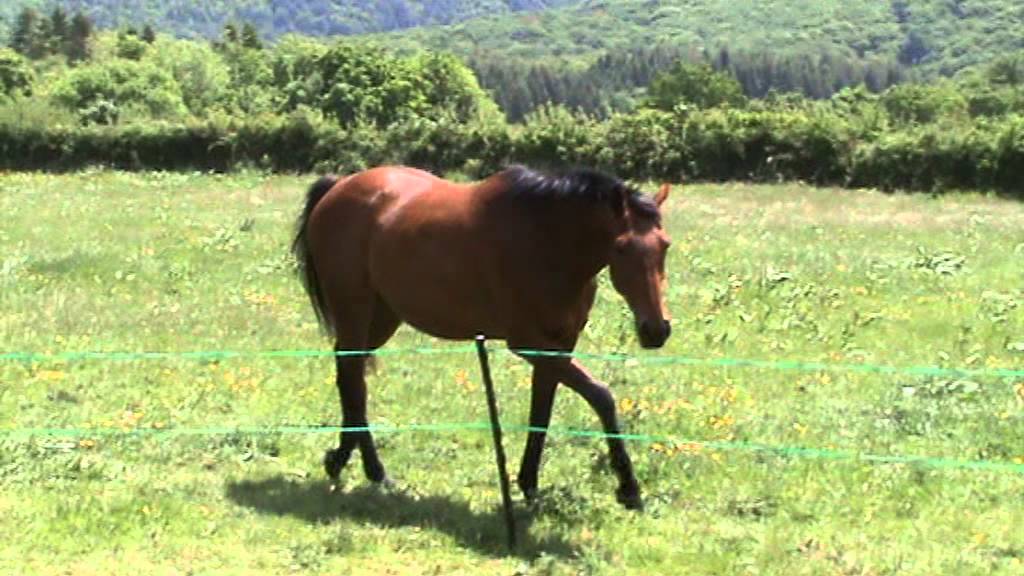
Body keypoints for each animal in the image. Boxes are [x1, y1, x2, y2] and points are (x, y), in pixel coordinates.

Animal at [292, 164, 673, 510]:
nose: (656, 329)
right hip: (354, 309)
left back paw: (342, 459)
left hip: (383, 316)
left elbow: (542, 412)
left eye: (665, 245)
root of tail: (338, 186)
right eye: (621, 247)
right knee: (353, 379)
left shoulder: (560, 344)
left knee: (349, 375)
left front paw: (529, 485)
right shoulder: (529, 342)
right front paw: (629, 489)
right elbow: (601, 396)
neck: (544, 239)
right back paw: (374, 470)